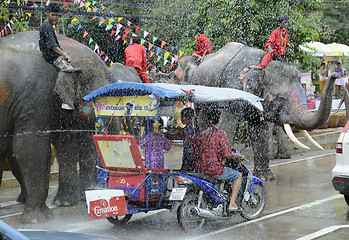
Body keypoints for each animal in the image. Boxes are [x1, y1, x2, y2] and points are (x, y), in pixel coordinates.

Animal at [169, 41, 338, 180]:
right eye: (280, 98)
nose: (335, 73)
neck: (261, 66)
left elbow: (260, 130)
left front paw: (265, 177)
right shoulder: (233, 89)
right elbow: (228, 125)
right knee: (202, 118)